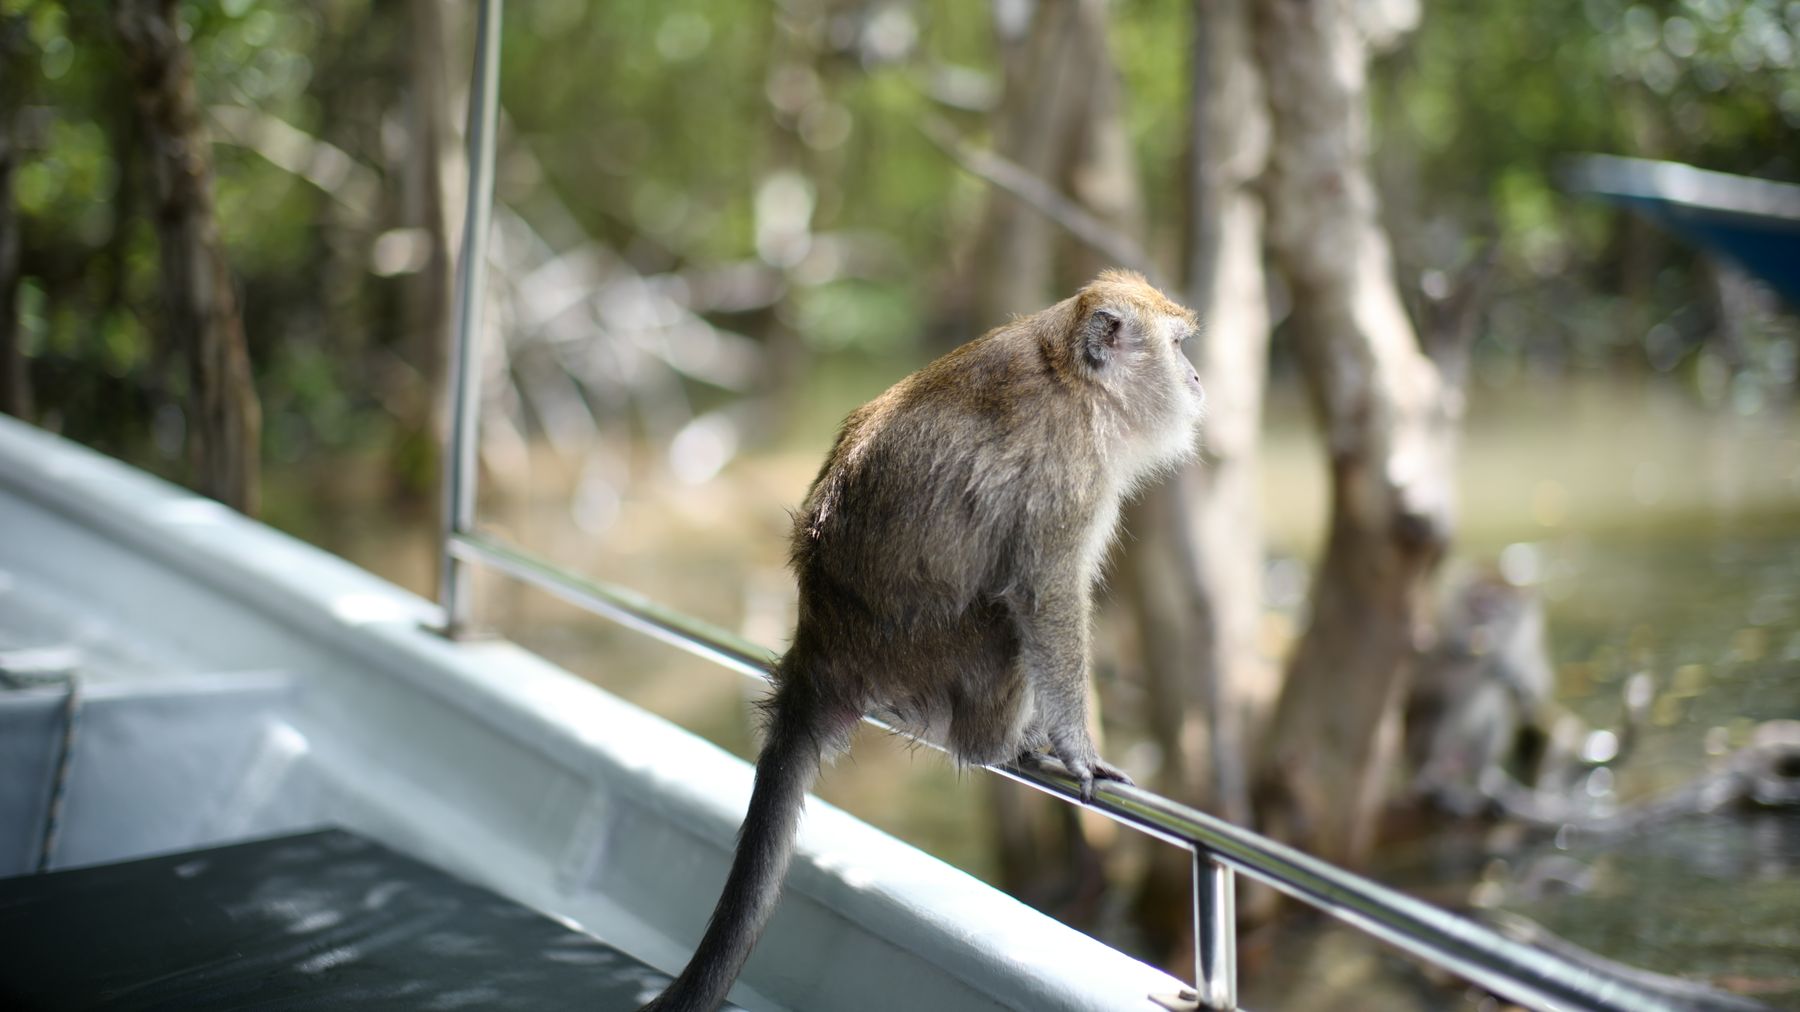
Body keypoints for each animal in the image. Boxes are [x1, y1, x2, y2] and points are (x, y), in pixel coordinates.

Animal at [641, 270, 1206, 1012]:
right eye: (1178, 346)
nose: (1197, 377)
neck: (1071, 375)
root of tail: (820, 651)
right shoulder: (1069, 473)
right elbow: (1045, 594)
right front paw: (1077, 749)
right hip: (940, 656)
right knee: (1005, 619)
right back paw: (1002, 740)